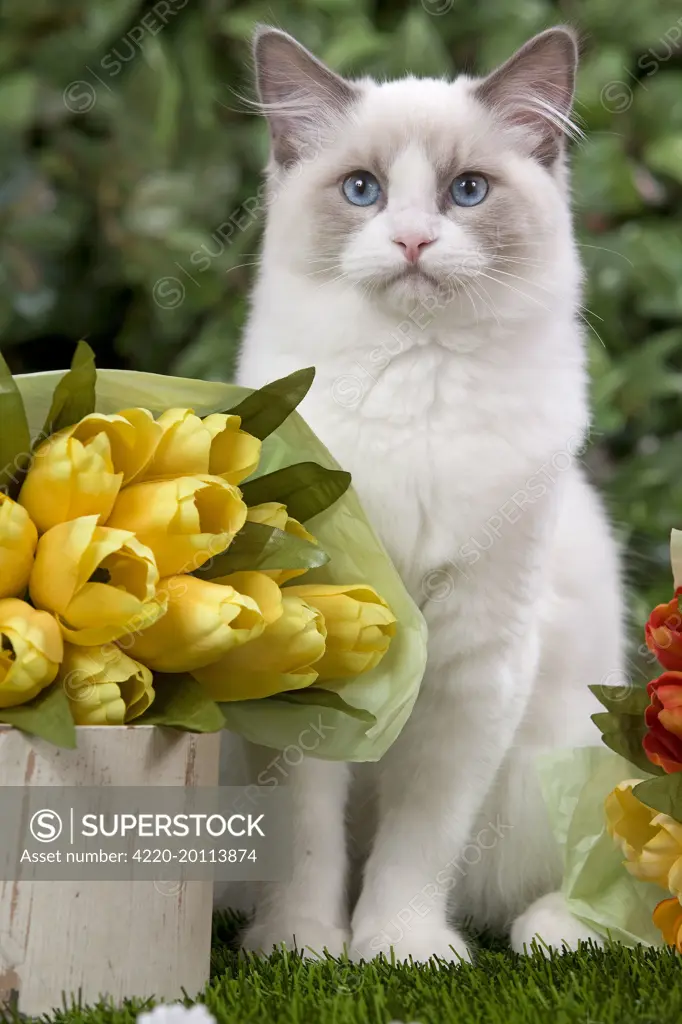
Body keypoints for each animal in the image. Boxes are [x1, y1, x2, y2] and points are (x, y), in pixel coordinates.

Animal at [232, 22, 622, 958]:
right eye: (363, 191)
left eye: (466, 191)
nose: (412, 240)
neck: (414, 379)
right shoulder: (313, 645)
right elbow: (307, 837)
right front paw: (304, 946)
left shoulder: (476, 666)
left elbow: (419, 841)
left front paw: (398, 950)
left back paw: (553, 932)